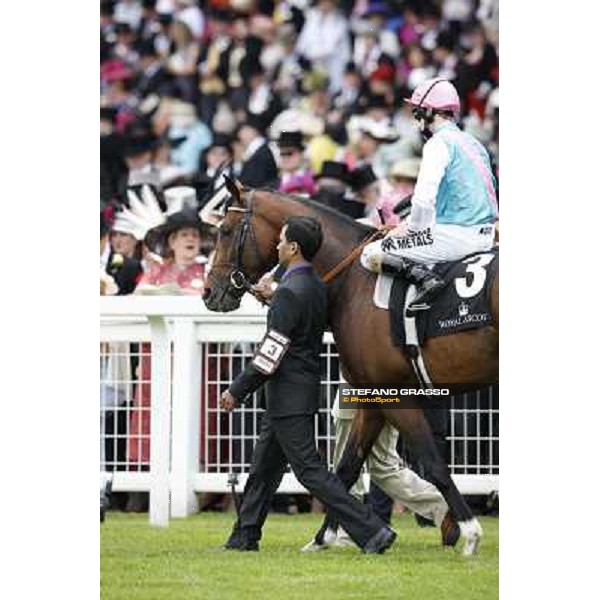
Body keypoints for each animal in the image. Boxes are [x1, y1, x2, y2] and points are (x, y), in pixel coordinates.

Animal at [202, 182, 496, 552]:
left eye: (225, 231)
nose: (208, 292)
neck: (354, 281)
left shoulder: (394, 394)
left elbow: (434, 463)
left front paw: (470, 532)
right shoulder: (373, 397)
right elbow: (348, 467)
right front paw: (325, 537)